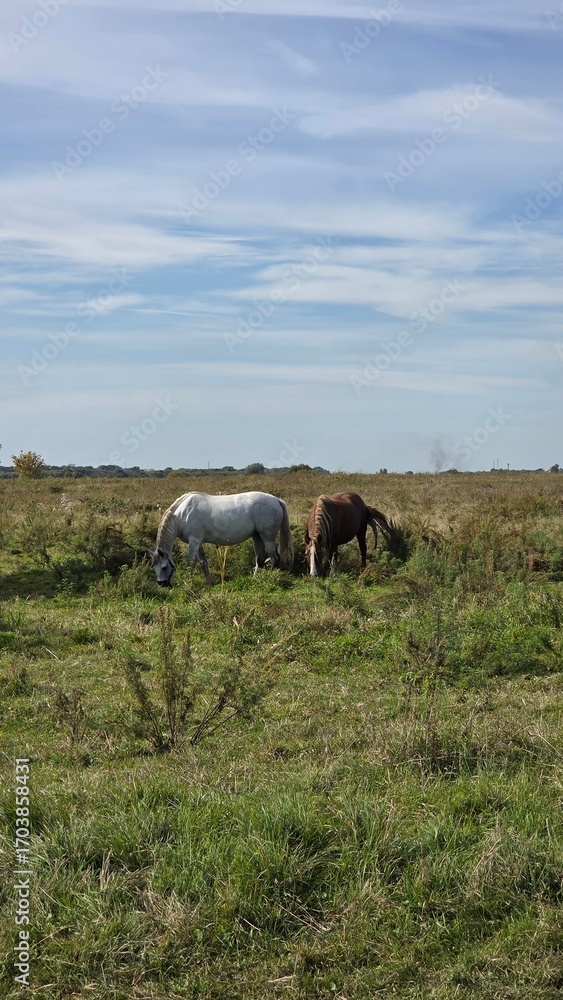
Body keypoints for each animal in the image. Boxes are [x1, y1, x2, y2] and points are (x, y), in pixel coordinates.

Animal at [148, 491, 294, 586]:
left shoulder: (194, 541)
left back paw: (270, 579)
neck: (181, 514)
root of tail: (276, 500)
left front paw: (188, 583)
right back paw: (255, 579)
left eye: (164, 567)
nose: (162, 584)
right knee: (260, 559)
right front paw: (209, 582)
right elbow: (203, 562)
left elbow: (191, 563)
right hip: (257, 536)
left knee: (275, 558)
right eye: (153, 568)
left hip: (267, 537)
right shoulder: (197, 542)